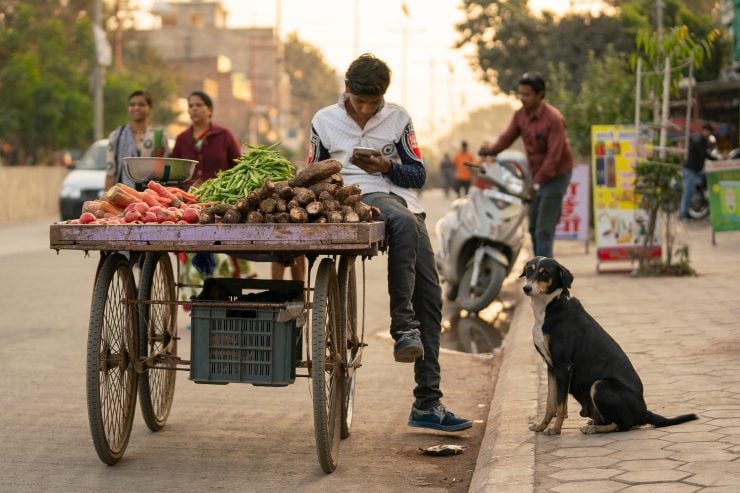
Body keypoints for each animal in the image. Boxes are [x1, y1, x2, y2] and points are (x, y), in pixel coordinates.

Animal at [516, 258, 696, 434]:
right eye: (529, 270)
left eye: (544, 273)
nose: (526, 288)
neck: (550, 306)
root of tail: (644, 411)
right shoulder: (552, 367)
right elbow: (550, 402)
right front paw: (541, 426)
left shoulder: (563, 366)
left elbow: (560, 405)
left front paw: (555, 430)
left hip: (600, 385)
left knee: (624, 424)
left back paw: (594, 428)